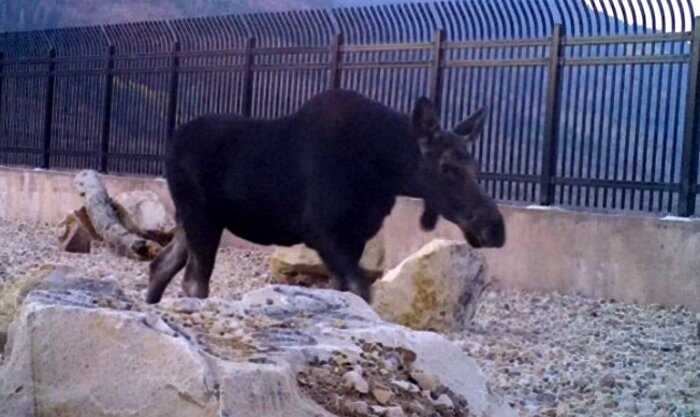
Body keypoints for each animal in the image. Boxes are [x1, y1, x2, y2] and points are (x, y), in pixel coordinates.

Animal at [146, 88, 504, 302]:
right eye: (446, 167)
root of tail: (171, 143)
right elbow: (363, 291)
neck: (384, 172)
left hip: (191, 218)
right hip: (201, 216)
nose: (495, 228)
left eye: (476, 166)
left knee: (161, 264)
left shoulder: (355, 236)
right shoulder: (320, 230)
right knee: (194, 281)